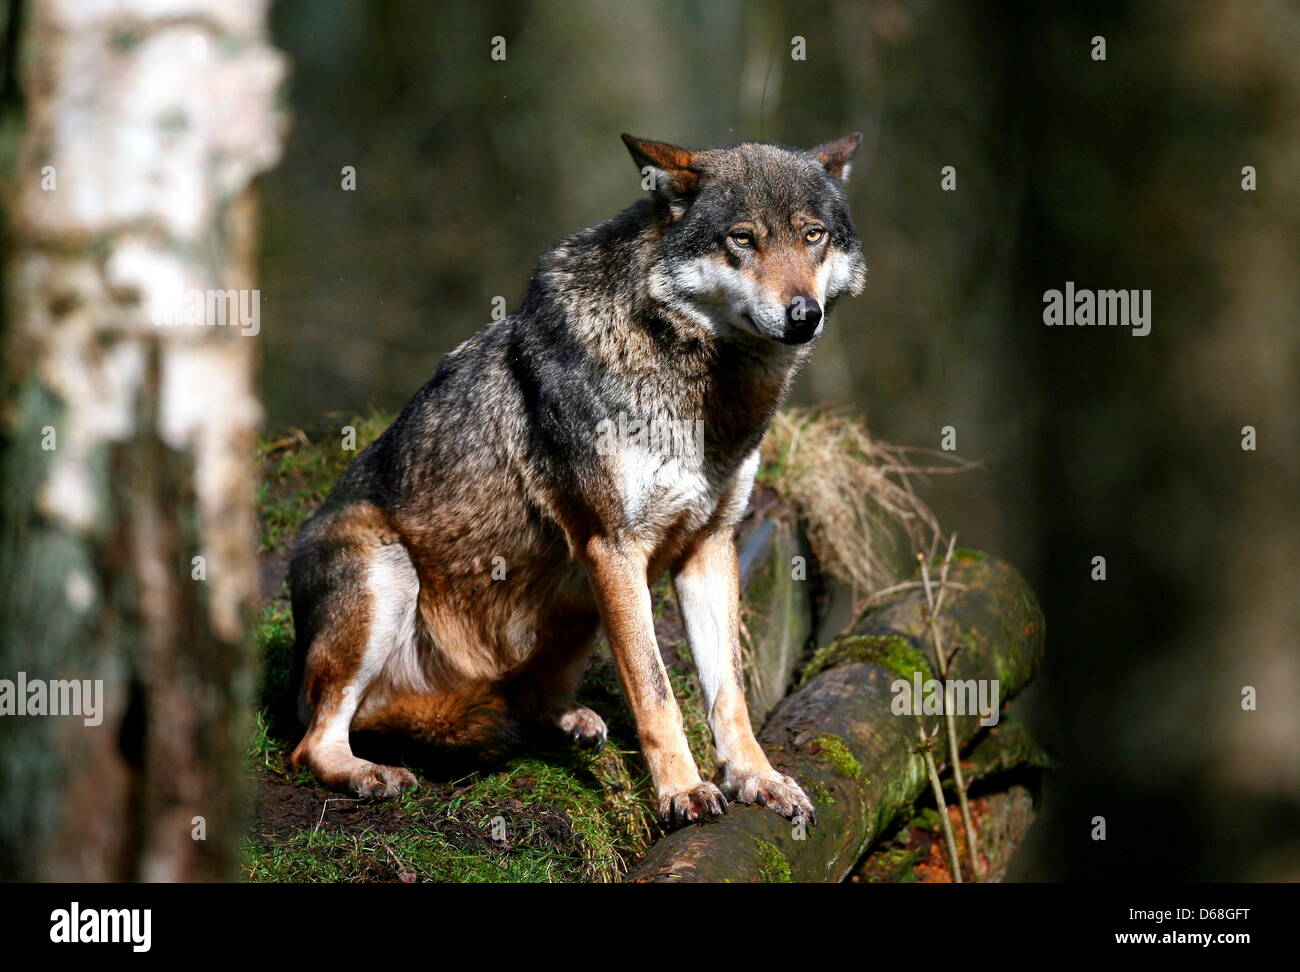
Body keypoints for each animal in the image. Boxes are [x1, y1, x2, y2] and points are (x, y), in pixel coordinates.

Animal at [289, 133, 868, 826]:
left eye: (812, 236)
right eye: (742, 239)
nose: (804, 314)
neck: (700, 386)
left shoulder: (710, 546)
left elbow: (727, 693)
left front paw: (757, 779)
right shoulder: (613, 547)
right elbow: (656, 689)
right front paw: (681, 792)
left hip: (577, 610)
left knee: (527, 701)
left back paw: (566, 720)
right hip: (388, 570)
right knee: (315, 740)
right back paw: (367, 773)